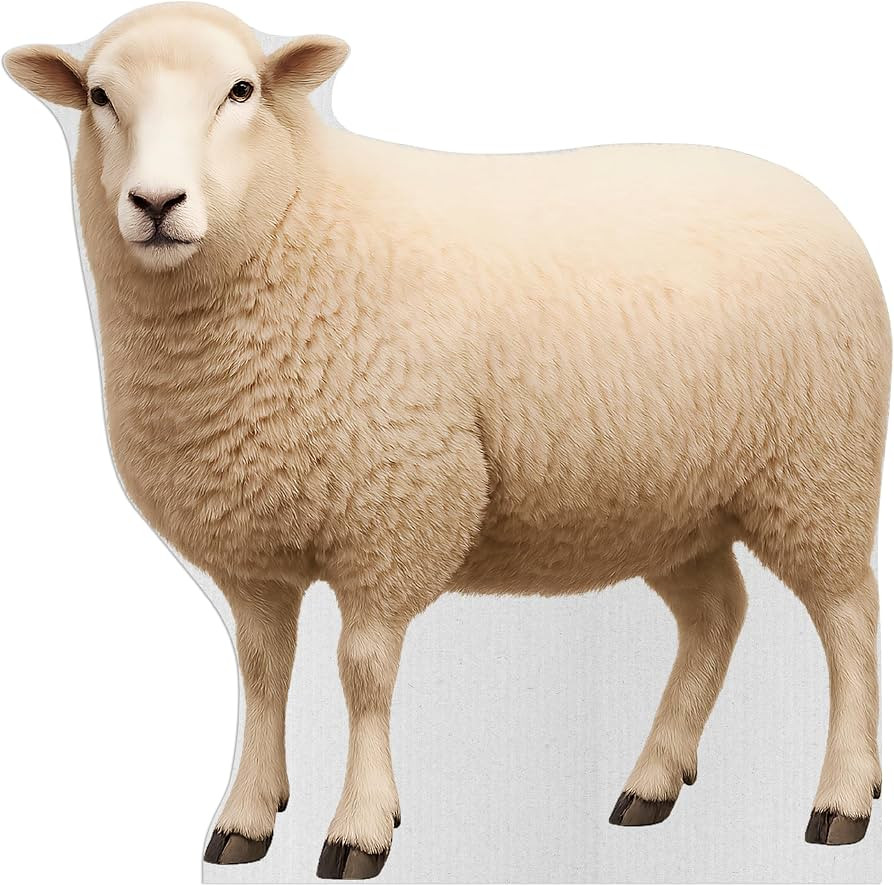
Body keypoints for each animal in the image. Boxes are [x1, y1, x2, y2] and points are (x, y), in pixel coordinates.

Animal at [4, 1, 888, 879]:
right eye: (99, 96)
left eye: (241, 90)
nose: (156, 203)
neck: (302, 222)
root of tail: (816, 195)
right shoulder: (250, 545)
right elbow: (261, 674)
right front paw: (247, 816)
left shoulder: (395, 506)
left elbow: (363, 671)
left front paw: (360, 826)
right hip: (674, 502)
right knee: (716, 615)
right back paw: (653, 781)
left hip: (819, 468)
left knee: (849, 619)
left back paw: (843, 797)